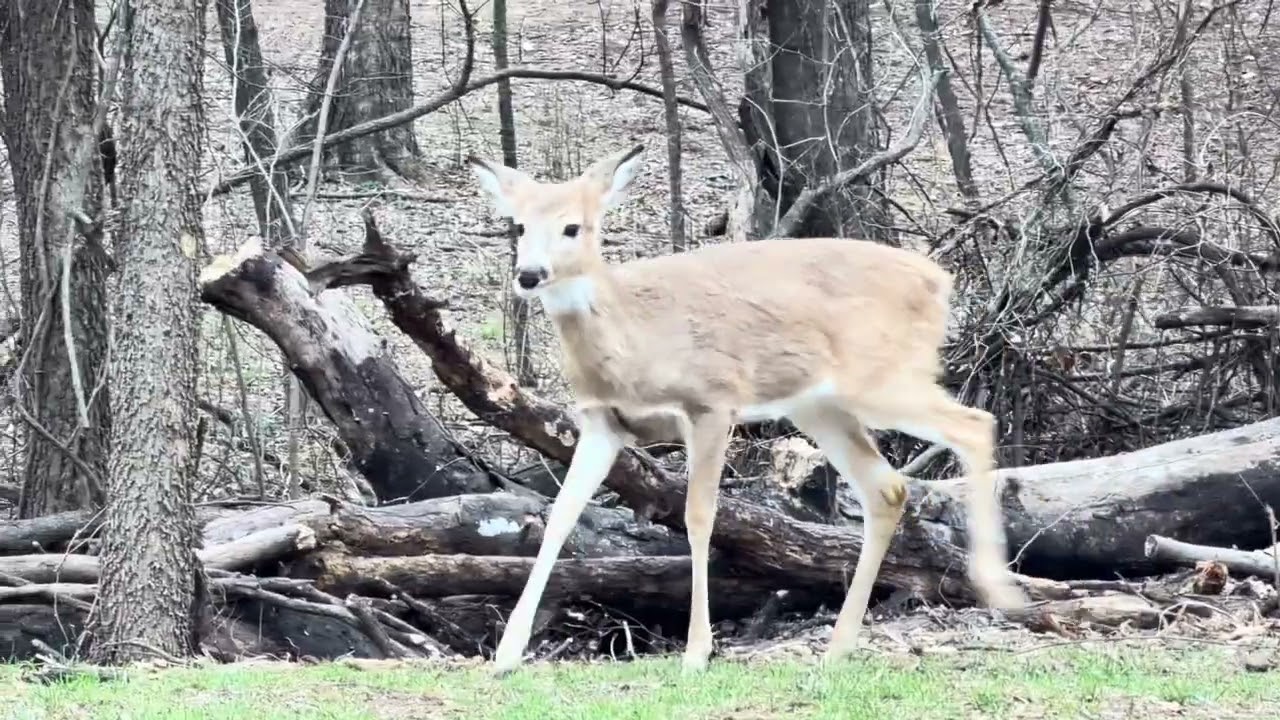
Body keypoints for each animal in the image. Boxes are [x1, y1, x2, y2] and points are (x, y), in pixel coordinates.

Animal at [466, 144, 1027, 675]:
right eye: (518, 225)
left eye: (572, 226)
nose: (530, 274)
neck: (632, 337)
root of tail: (941, 281)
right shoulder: (602, 421)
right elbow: (560, 515)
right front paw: (507, 654)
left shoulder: (713, 401)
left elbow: (699, 516)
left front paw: (697, 651)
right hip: (819, 406)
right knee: (888, 488)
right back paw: (838, 647)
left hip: (880, 379)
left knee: (976, 424)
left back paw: (999, 590)